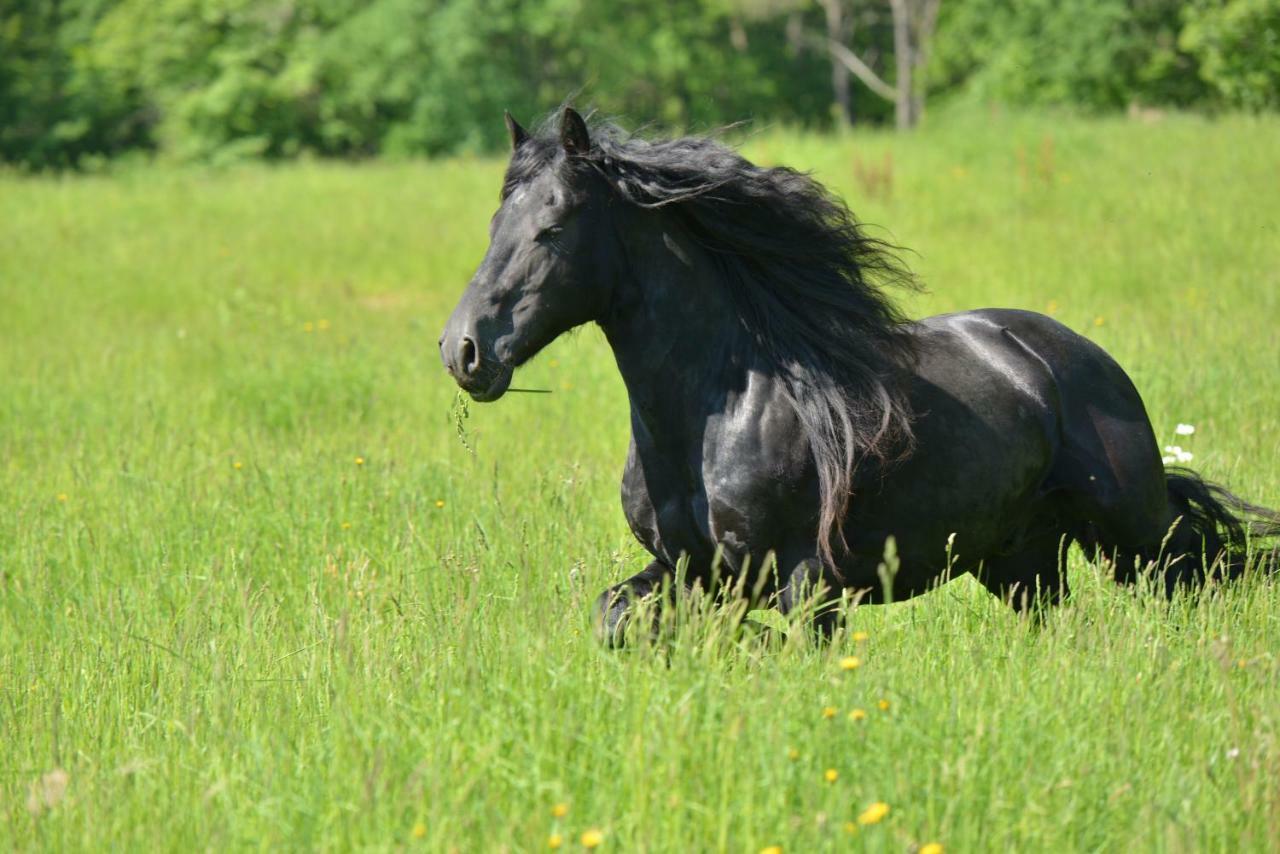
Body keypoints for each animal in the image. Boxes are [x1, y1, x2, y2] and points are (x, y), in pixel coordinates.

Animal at [442, 106, 1280, 640]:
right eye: (494, 222)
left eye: (553, 226)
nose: (464, 350)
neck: (712, 414)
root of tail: (1072, 357)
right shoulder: (684, 567)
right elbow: (617, 618)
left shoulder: (803, 579)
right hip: (1019, 558)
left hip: (1132, 530)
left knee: (1193, 574)